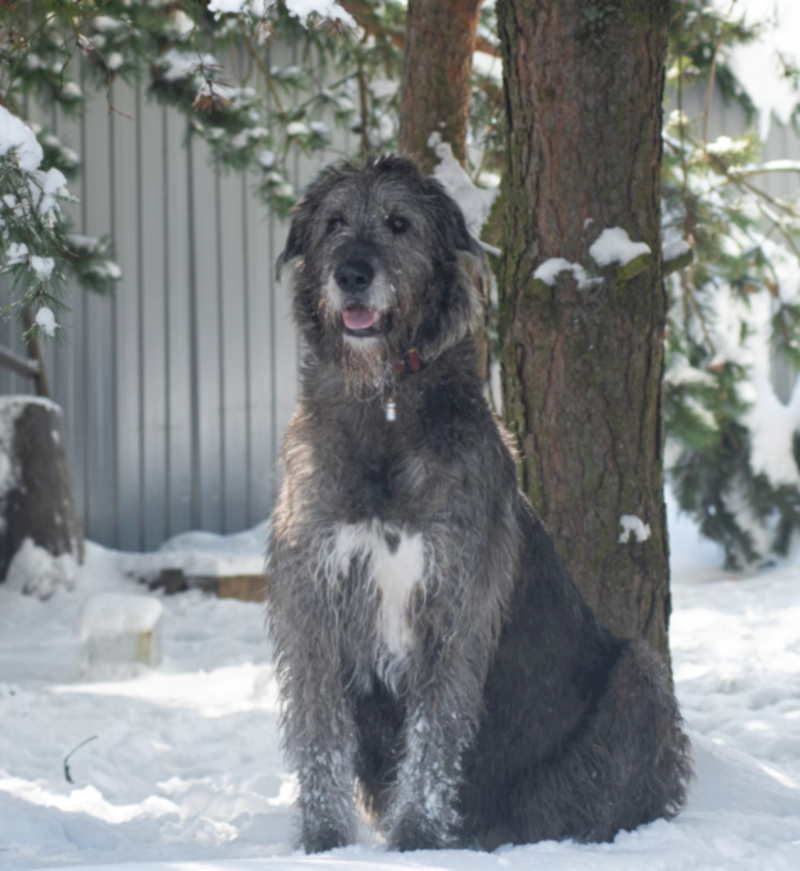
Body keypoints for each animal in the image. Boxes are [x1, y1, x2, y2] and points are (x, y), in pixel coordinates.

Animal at [266, 155, 692, 852]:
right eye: (333, 224)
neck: (385, 404)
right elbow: (321, 732)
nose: (351, 273)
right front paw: (325, 842)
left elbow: (435, 736)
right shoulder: (312, 594)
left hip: (640, 673)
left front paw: (416, 840)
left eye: (399, 223)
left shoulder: (455, 598)